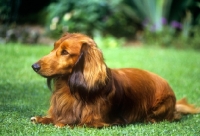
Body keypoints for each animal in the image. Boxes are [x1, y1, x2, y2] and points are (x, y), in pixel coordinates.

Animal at [31, 32, 200, 127]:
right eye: (54, 48)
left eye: (65, 52)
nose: (34, 66)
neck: (70, 89)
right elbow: (53, 118)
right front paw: (41, 118)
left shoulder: (98, 121)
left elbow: (73, 123)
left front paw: (60, 123)